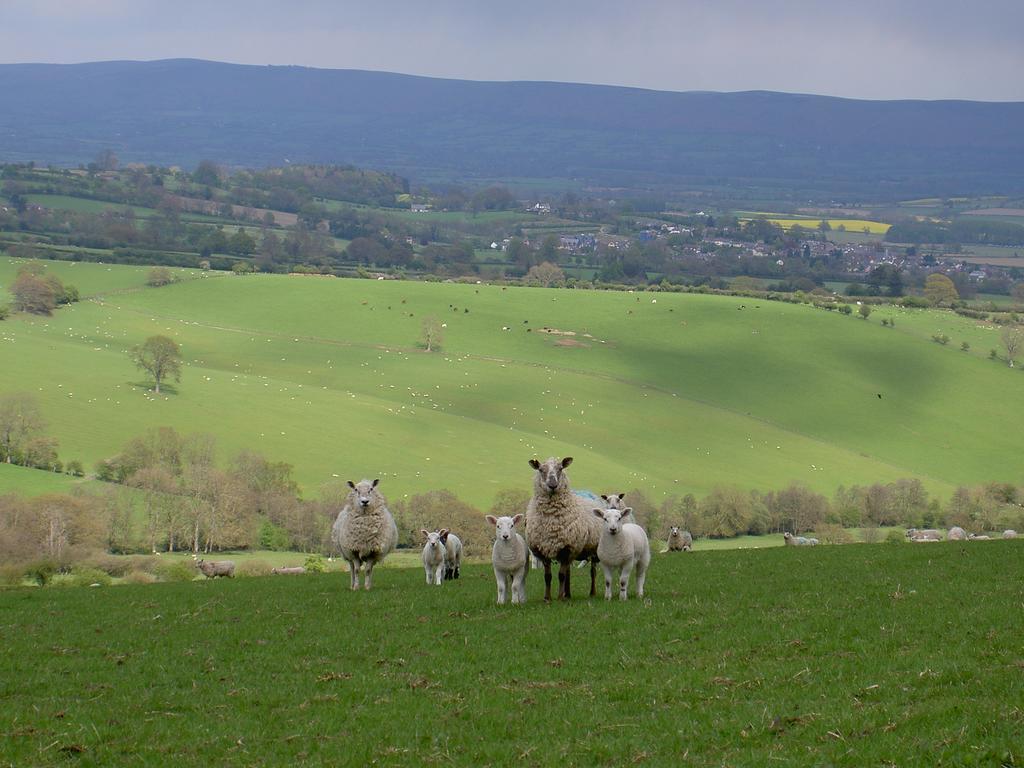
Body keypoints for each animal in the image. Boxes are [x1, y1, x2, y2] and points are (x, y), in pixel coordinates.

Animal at [524, 456, 602, 602]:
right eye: (541, 469)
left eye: (560, 468)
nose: (552, 485)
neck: (551, 521)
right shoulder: (544, 549)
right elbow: (548, 577)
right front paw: (547, 598)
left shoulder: (567, 548)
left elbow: (560, 575)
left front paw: (559, 597)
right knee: (568, 573)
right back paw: (568, 594)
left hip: (594, 549)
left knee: (592, 572)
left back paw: (592, 593)